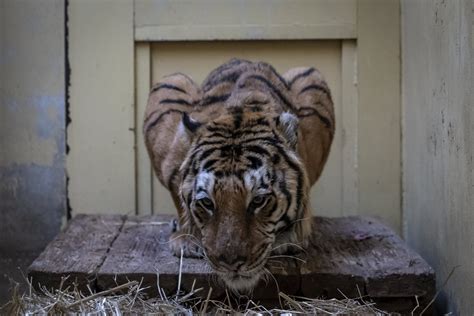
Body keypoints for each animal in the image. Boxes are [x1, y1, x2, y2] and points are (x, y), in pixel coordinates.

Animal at [143, 59, 334, 292]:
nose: (231, 263)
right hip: (171, 81)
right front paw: (187, 240)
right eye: (207, 202)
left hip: (311, 76)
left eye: (259, 200)